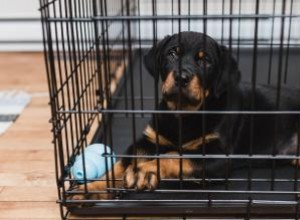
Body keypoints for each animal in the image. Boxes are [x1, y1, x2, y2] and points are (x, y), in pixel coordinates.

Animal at [69, 31, 300, 201]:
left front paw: (146, 170)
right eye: (172, 54)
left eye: (205, 60)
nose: (181, 77)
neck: (183, 113)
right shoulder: (149, 139)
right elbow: (121, 164)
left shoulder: (218, 156)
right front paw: (92, 188)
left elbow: (175, 155)